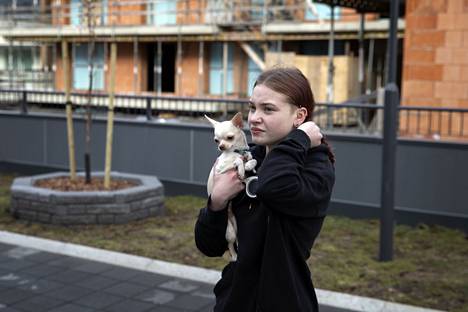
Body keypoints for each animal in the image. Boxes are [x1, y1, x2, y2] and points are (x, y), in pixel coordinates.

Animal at [205, 112, 256, 260]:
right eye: (216, 140)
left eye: (230, 137)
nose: (221, 147)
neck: (237, 151)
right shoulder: (220, 168)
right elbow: (238, 161)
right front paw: (241, 168)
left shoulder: (248, 156)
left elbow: (252, 160)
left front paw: (249, 165)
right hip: (230, 232)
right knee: (230, 245)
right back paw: (234, 257)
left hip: (236, 225)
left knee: (237, 241)